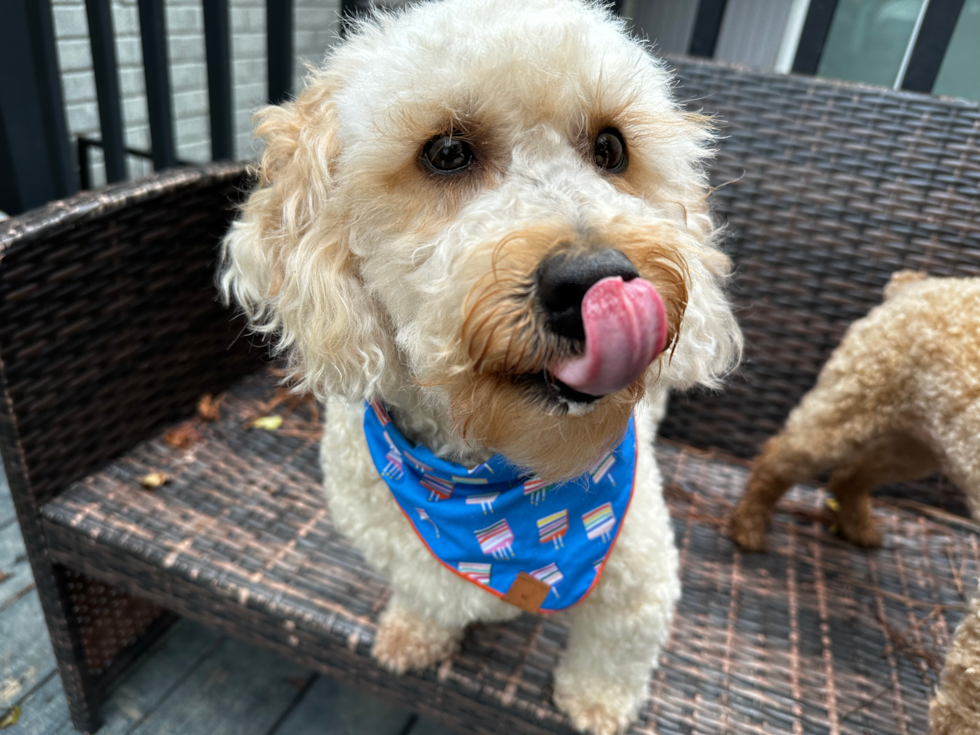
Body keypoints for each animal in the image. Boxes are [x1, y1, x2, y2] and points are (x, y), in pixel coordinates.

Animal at [220, 2, 744, 732]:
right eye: (446, 153)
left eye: (611, 149)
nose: (594, 281)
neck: (493, 484)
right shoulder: (401, 546)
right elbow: (426, 592)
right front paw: (415, 635)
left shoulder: (638, 580)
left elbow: (613, 652)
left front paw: (596, 706)